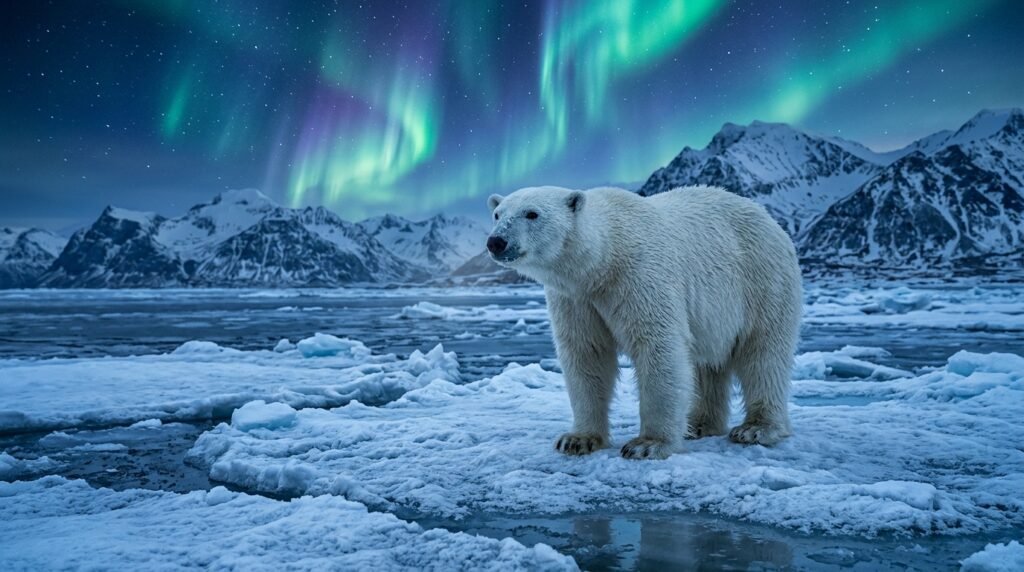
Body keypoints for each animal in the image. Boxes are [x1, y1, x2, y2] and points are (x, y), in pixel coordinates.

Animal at [486, 185, 802, 459]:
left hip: (762, 280)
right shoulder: (576, 299)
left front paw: (647, 444)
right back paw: (698, 424)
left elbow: (657, 347)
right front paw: (577, 439)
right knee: (707, 363)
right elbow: (586, 355)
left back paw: (756, 428)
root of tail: (768, 218)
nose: (496, 241)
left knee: (763, 353)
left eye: (532, 213)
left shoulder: (639, 276)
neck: (602, 261)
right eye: (498, 214)